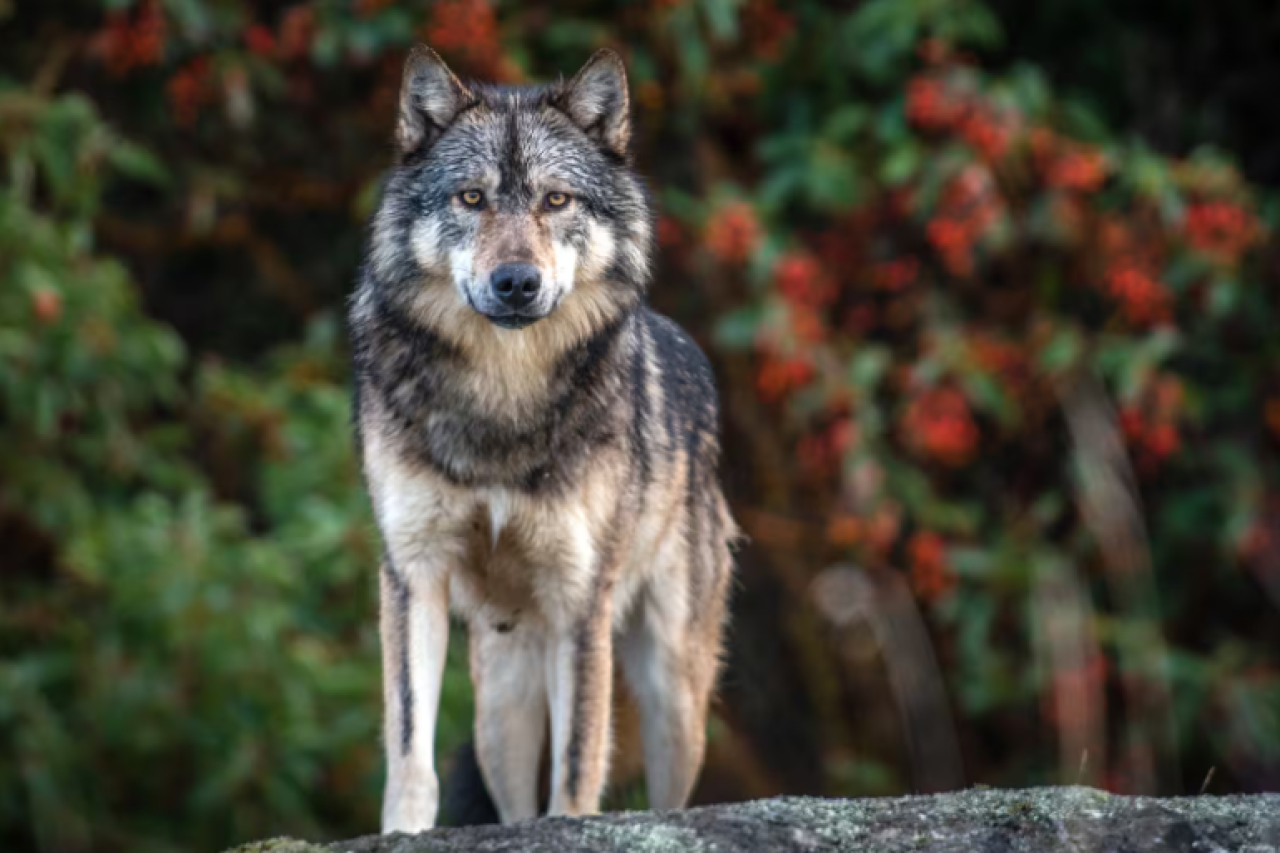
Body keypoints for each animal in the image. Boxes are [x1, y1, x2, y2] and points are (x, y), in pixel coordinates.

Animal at [348, 45, 737, 833]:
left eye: (556, 201)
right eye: (471, 198)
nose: (516, 283)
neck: (505, 395)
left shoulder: (580, 597)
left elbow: (579, 763)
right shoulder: (412, 572)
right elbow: (409, 748)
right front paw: (403, 832)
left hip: (673, 695)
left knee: (666, 790)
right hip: (501, 709)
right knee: (510, 797)